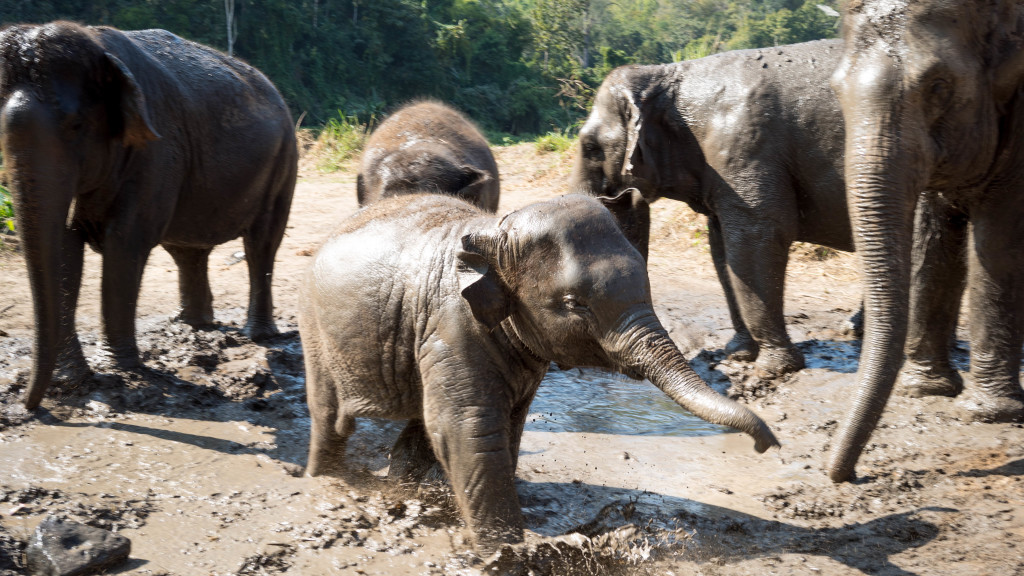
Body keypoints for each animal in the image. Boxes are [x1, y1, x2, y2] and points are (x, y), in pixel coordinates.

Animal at [2, 22, 299, 407]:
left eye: (76, 126)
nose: (30, 404)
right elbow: (65, 249)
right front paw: (71, 381)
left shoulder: (157, 153)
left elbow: (125, 243)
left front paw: (118, 370)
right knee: (188, 251)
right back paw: (191, 325)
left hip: (284, 161)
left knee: (261, 243)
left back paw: (258, 336)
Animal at [299, 191, 778, 553]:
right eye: (573, 304)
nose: (767, 445)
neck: (495, 231)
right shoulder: (450, 327)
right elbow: (468, 427)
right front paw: (507, 552)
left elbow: (508, 425)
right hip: (315, 332)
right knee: (330, 417)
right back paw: (325, 479)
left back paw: (400, 485)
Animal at [827, 0, 1024, 479]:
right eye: (835, 90)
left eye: (939, 86)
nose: (843, 474)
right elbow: (931, 239)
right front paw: (924, 390)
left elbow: (998, 240)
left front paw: (986, 415)